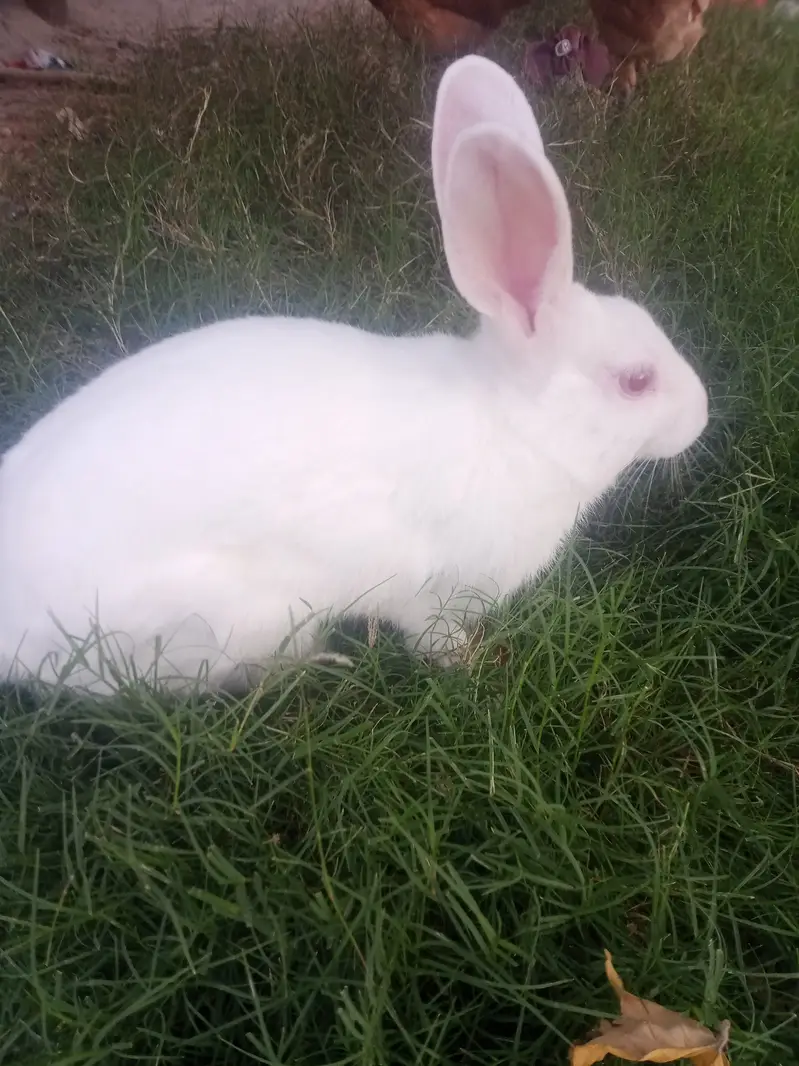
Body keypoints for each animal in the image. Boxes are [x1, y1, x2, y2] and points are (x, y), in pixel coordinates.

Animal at [0, 55, 708, 696]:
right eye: (636, 381)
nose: (702, 414)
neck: (517, 427)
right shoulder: (433, 593)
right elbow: (435, 642)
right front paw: (478, 665)